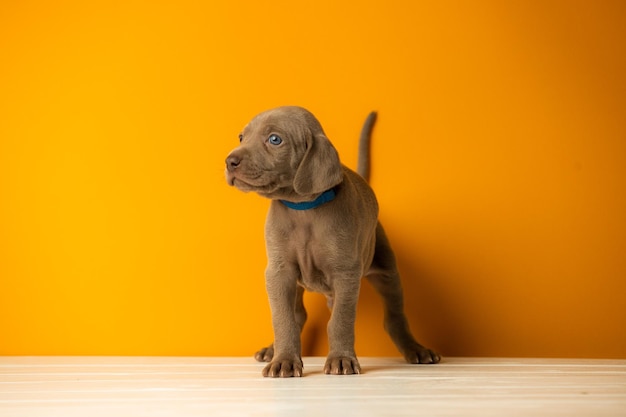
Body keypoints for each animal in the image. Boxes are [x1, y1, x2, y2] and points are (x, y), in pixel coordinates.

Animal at [224, 105, 438, 376]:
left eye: (274, 139)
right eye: (241, 137)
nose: (229, 161)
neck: (303, 208)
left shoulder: (345, 273)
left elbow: (340, 320)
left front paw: (341, 359)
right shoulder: (279, 272)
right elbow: (283, 318)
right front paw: (283, 360)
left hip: (387, 271)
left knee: (394, 317)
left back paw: (416, 350)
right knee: (298, 314)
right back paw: (271, 350)